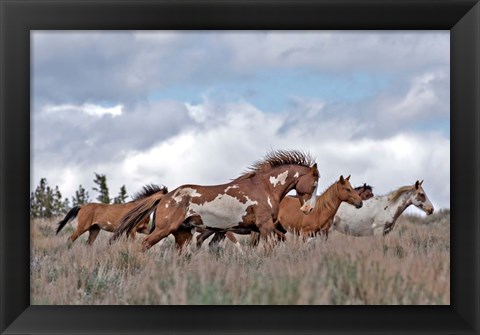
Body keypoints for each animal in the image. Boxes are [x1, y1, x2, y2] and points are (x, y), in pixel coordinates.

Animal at [111, 150, 320, 252]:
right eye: (315, 183)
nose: (309, 209)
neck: (266, 187)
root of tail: (167, 196)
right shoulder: (265, 226)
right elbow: (275, 244)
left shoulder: (261, 228)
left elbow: (280, 240)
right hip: (165, 229)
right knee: (145, 244)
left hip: (183, 234)